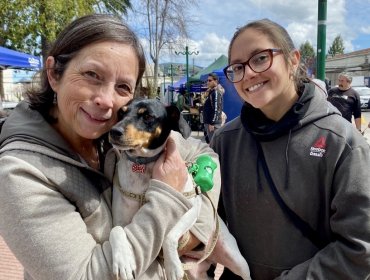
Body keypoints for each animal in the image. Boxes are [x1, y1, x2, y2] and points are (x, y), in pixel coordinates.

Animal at [108, 99, 250, 280]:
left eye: (147, 116)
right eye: (121, 112)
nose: (114, 131)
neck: (142, 166)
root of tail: (211, 258)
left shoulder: (192, 209)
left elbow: (170, 235)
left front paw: (172, 266)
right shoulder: (120, 220)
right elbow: (116, 230)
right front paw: (122, 262)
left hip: (238, 262)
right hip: (196, 272)